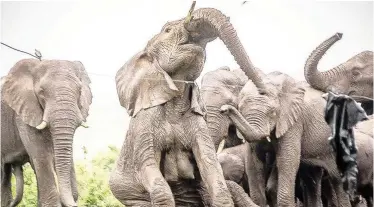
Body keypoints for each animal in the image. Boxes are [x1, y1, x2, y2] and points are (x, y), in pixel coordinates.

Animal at [108, 6, 262, 207]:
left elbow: (210, 166)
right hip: (130, 196)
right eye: (167, 30)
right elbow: (149, 167)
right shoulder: (145, 122)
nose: (225, 109)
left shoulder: (198, 123)